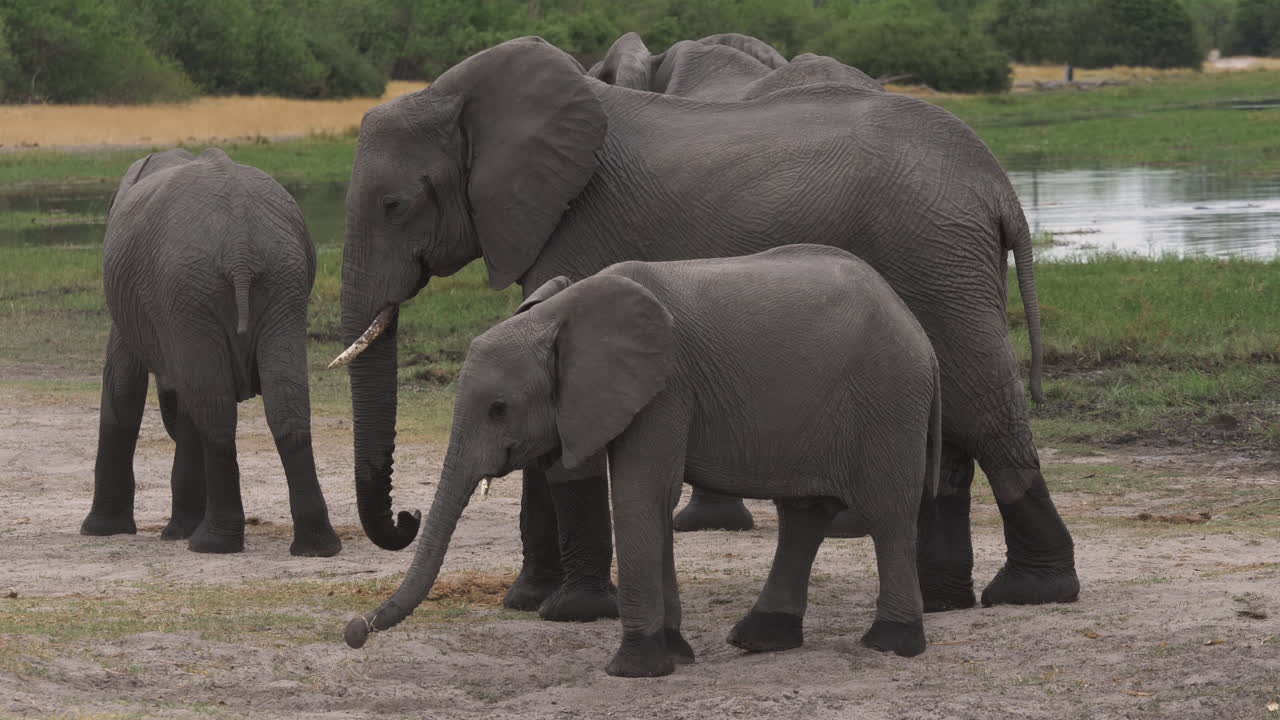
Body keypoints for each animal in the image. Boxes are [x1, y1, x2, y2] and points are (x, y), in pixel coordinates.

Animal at [79, 147, 342, 557]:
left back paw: (211, 544)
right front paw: (177, 529)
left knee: (214, 411)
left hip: (193, 284)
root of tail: (240, 246)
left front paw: (101, 530)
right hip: (280, 282)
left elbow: (122, 382)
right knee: (284, 401)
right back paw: (317, 546)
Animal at [333, 36, 1077, 624]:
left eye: (395, 205)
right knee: (951, 426)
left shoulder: (578, 225)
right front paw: (529, 602)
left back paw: (1032, 591)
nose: (403, 520)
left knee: (983, 408)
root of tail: (996, 185)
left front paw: (572, 612)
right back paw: (943, 599)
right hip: (941, 259)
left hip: (934, 254)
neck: (461, 97)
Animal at [343, 245, 943, 678]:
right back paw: (761, 639)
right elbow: (650, 503)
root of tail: (916, 327)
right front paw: (672, 653)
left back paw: (891, 645)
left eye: (498, 409)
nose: (355, 630)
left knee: (889, 514)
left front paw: (633, 669)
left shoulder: (665, 387)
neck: (563, 313)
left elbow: (640, 493)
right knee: (803, 514)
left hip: (889, 399)